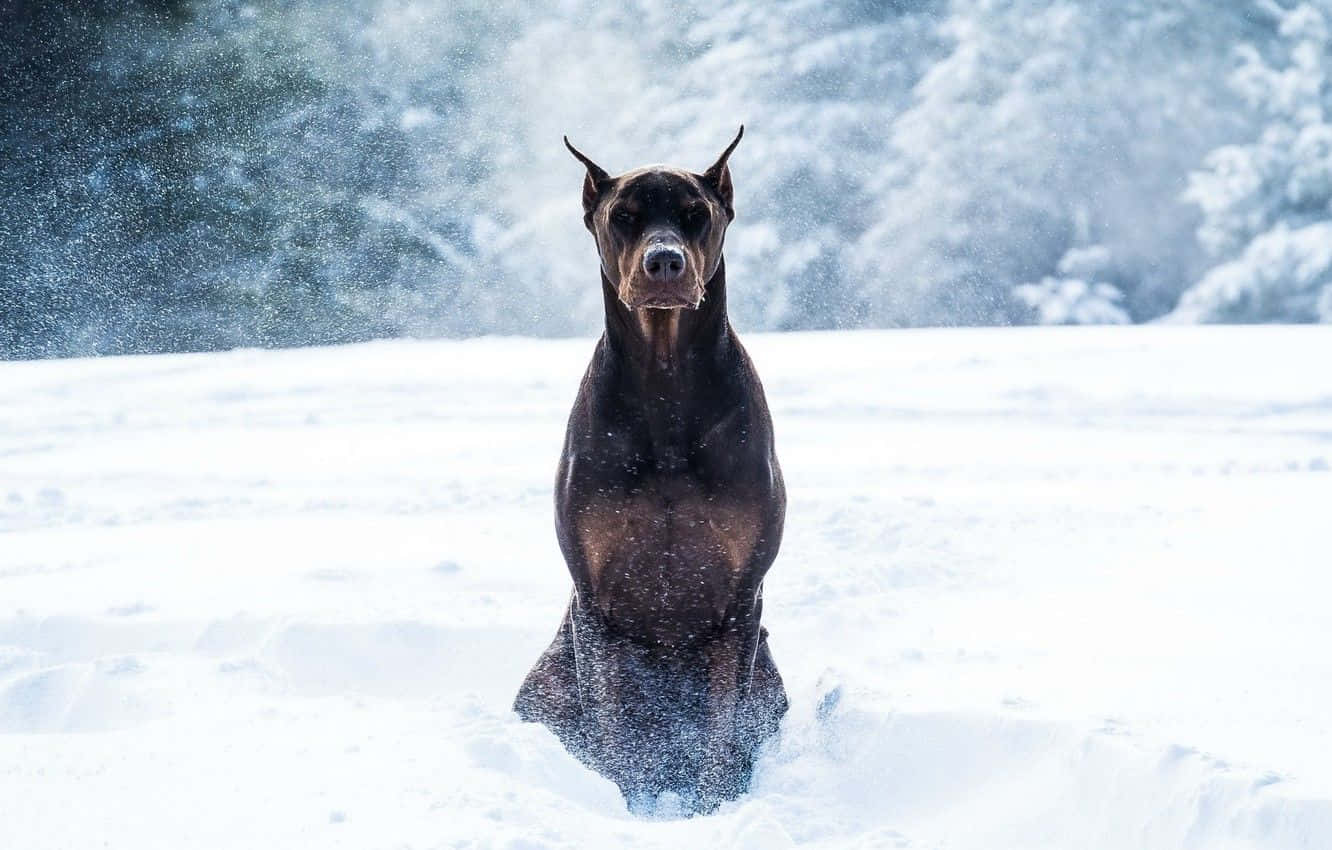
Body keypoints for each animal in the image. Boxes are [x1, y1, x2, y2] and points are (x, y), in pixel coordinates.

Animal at [514, 129, 783, 815]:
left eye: (696, 213)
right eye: (624, 216)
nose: (665, 262)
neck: (666, 384)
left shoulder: (742, 598)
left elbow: (722, 726)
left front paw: (713, 807)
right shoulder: (595, 600)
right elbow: (611, 725)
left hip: (770, 673)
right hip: (547, 681)